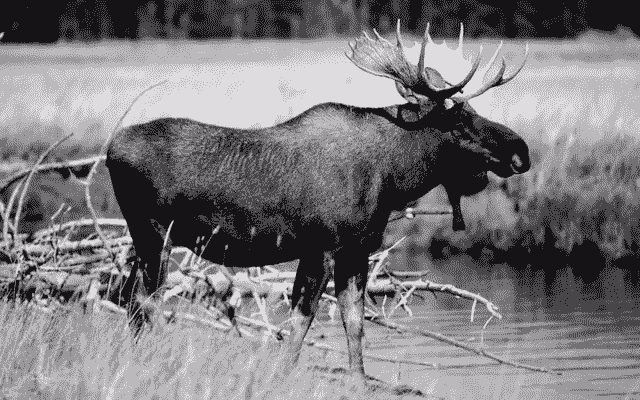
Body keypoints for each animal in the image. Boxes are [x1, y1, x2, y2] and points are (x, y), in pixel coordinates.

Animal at [106, 21, 528, 382]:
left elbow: (354, 324)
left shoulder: (357, 251)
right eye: (460, 120)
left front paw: (359, 381)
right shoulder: (321, 247)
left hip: (143, 239)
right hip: (155, 235)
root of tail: (110, 150)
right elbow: (300, 324)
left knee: (128, 297)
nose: (521, 151)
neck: (391, 177)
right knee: (143, 300)